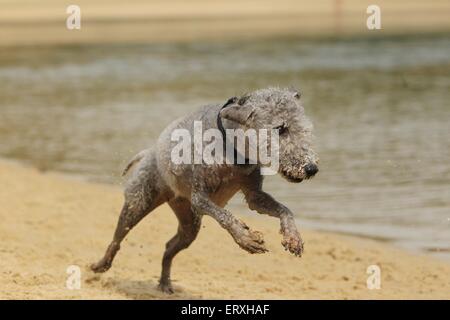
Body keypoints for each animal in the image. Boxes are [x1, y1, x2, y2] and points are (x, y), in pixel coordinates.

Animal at [89, 86, 318, 294]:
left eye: (306, 129)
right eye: (280, 128)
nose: (311, 168)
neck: (233, 149)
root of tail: (149, 151)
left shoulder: (254, 195)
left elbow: (284, 209)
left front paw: (293, 238)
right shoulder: (200, 197)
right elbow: (225, 216)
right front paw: (246, 239)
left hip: (189, 222)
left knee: (169, 247)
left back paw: (165, 283)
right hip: (139, 201)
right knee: (118, 238)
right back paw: (100, 265)